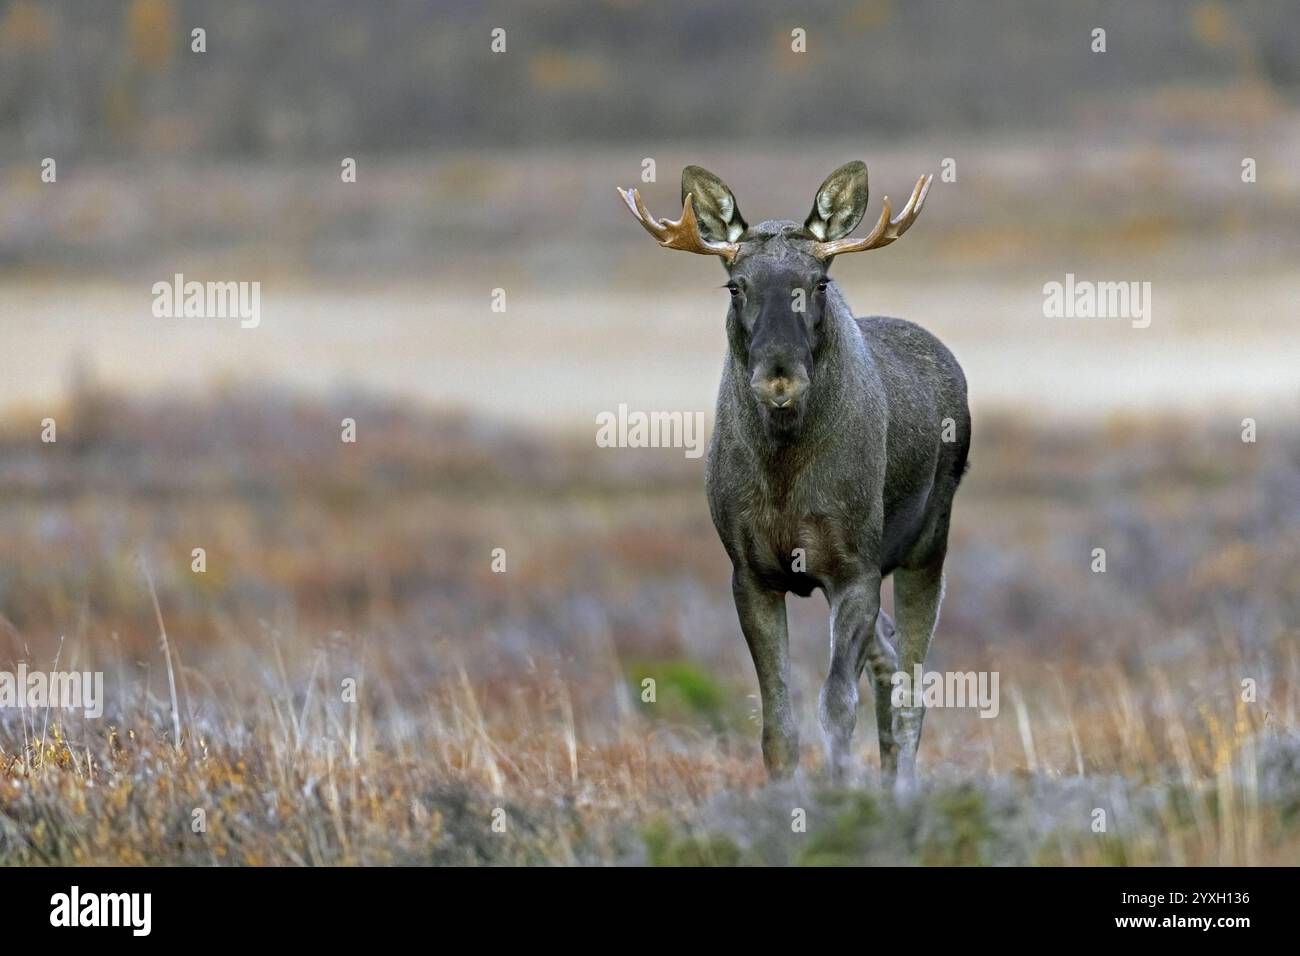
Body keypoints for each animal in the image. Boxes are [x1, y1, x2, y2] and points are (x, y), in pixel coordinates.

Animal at [624, 162, 972, 785]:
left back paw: (903, 787)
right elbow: (777, 726)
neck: (785, 474)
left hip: (927, 546)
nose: (778, 377)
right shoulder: (751, 573)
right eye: (735, 285)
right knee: (889, 663)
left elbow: (836, 705)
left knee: (913, 686)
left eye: (819, 283)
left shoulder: (855, 570)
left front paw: (841, 789)